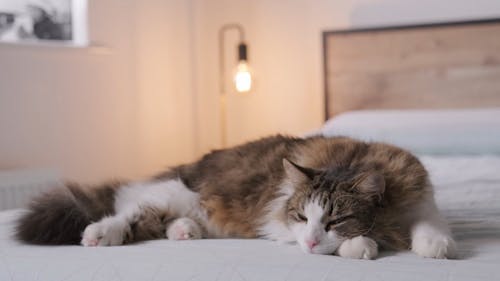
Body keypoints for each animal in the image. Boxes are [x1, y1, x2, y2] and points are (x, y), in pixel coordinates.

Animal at [14, 135, 458, 258]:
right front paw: (362, 246)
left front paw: (435, 246)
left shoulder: (421, 199)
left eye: (335, 219)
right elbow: (359, 242)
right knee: (127, 213)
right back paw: (99, 234)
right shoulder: (279, 224)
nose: (312, 240)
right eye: (303, 217)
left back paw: (183, 232)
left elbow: (430, 226)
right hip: (173, 193)